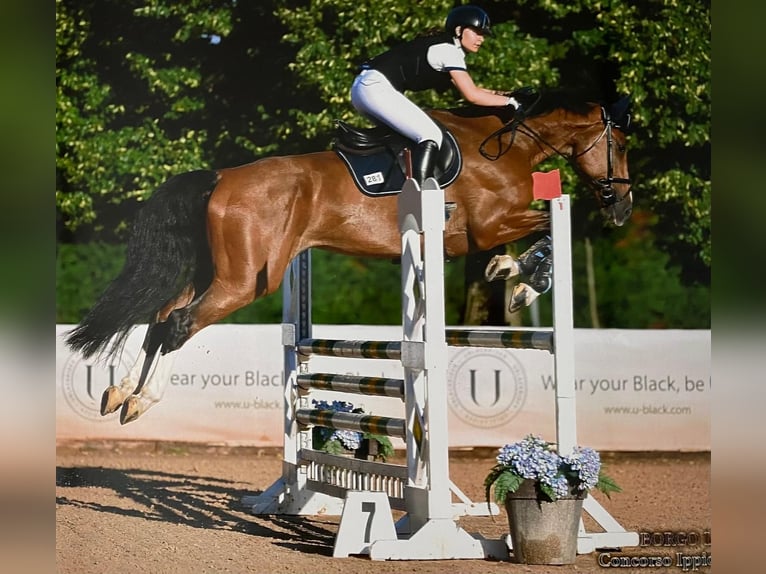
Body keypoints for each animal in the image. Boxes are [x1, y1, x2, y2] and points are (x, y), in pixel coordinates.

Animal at [65, 88, 632, 424]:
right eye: (622, 145)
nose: (622, 208)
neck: (507, 147)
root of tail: (222, 177)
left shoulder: (481, 232)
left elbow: (523, 238)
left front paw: (510, 272)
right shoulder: (489, 224)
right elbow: (548, 225)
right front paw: (527, 280)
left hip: (220, 270)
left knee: (162, 316)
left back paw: (119, 393)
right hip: (245, 281)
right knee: (180, 322)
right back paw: (140, 400)